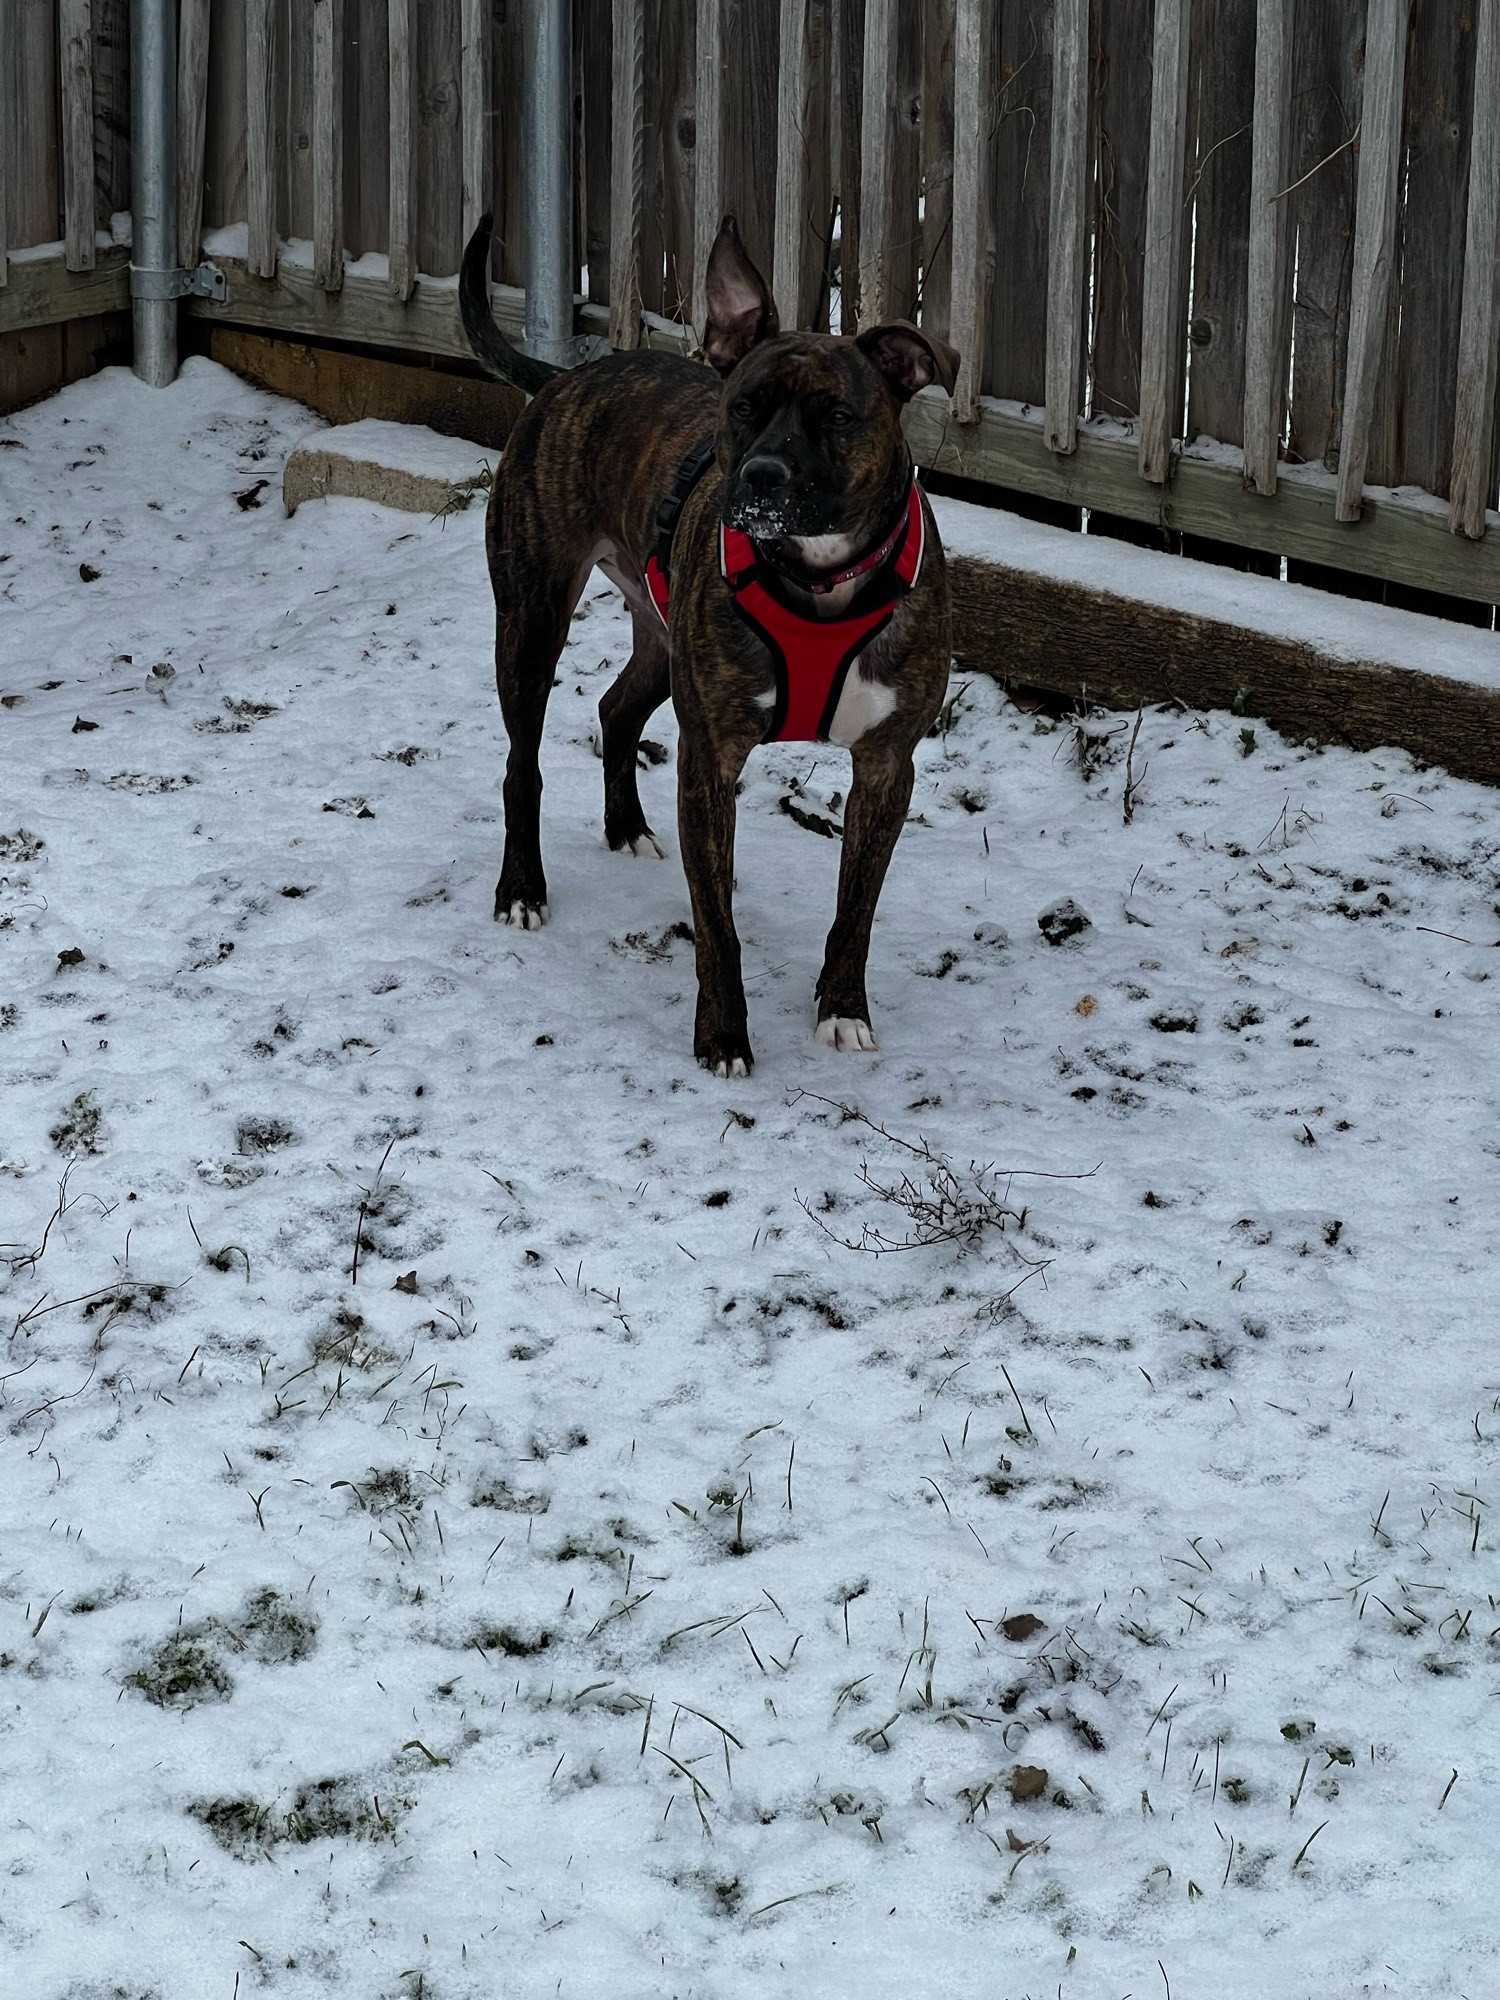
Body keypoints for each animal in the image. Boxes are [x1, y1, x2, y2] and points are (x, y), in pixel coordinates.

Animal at [456, 215, 964, 1080]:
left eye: (837, 416)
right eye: (744, 407)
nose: (761, 475)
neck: (818, 576)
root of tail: (564, 378)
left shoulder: (887, 765)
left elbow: (855, 909)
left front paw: (843, 1009)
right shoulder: (709, 760)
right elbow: (716, 923)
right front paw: (724, 1037)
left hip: (664, 639)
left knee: (618, 706)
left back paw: (626, 827)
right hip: (529, 619)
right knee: (522, 764)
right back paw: (521, 887)